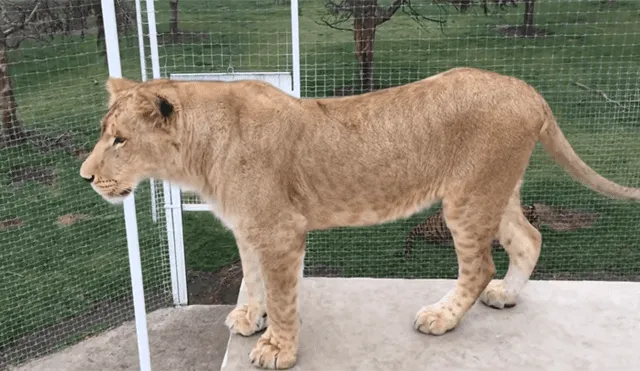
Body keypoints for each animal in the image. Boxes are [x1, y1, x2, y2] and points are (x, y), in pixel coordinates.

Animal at [80, 68, 640, 370]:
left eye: (120, 140)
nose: (85, 177)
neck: (198, 157)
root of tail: (526, 88)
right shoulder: (249, 226)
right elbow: (252, 278)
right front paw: (248, 318)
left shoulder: (281, 230)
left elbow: (281, 296)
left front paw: (277, 348)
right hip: (496, 189)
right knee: (528, 237)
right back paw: (507, 294)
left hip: (467, 197)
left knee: (479, 265)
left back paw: (442, 317)